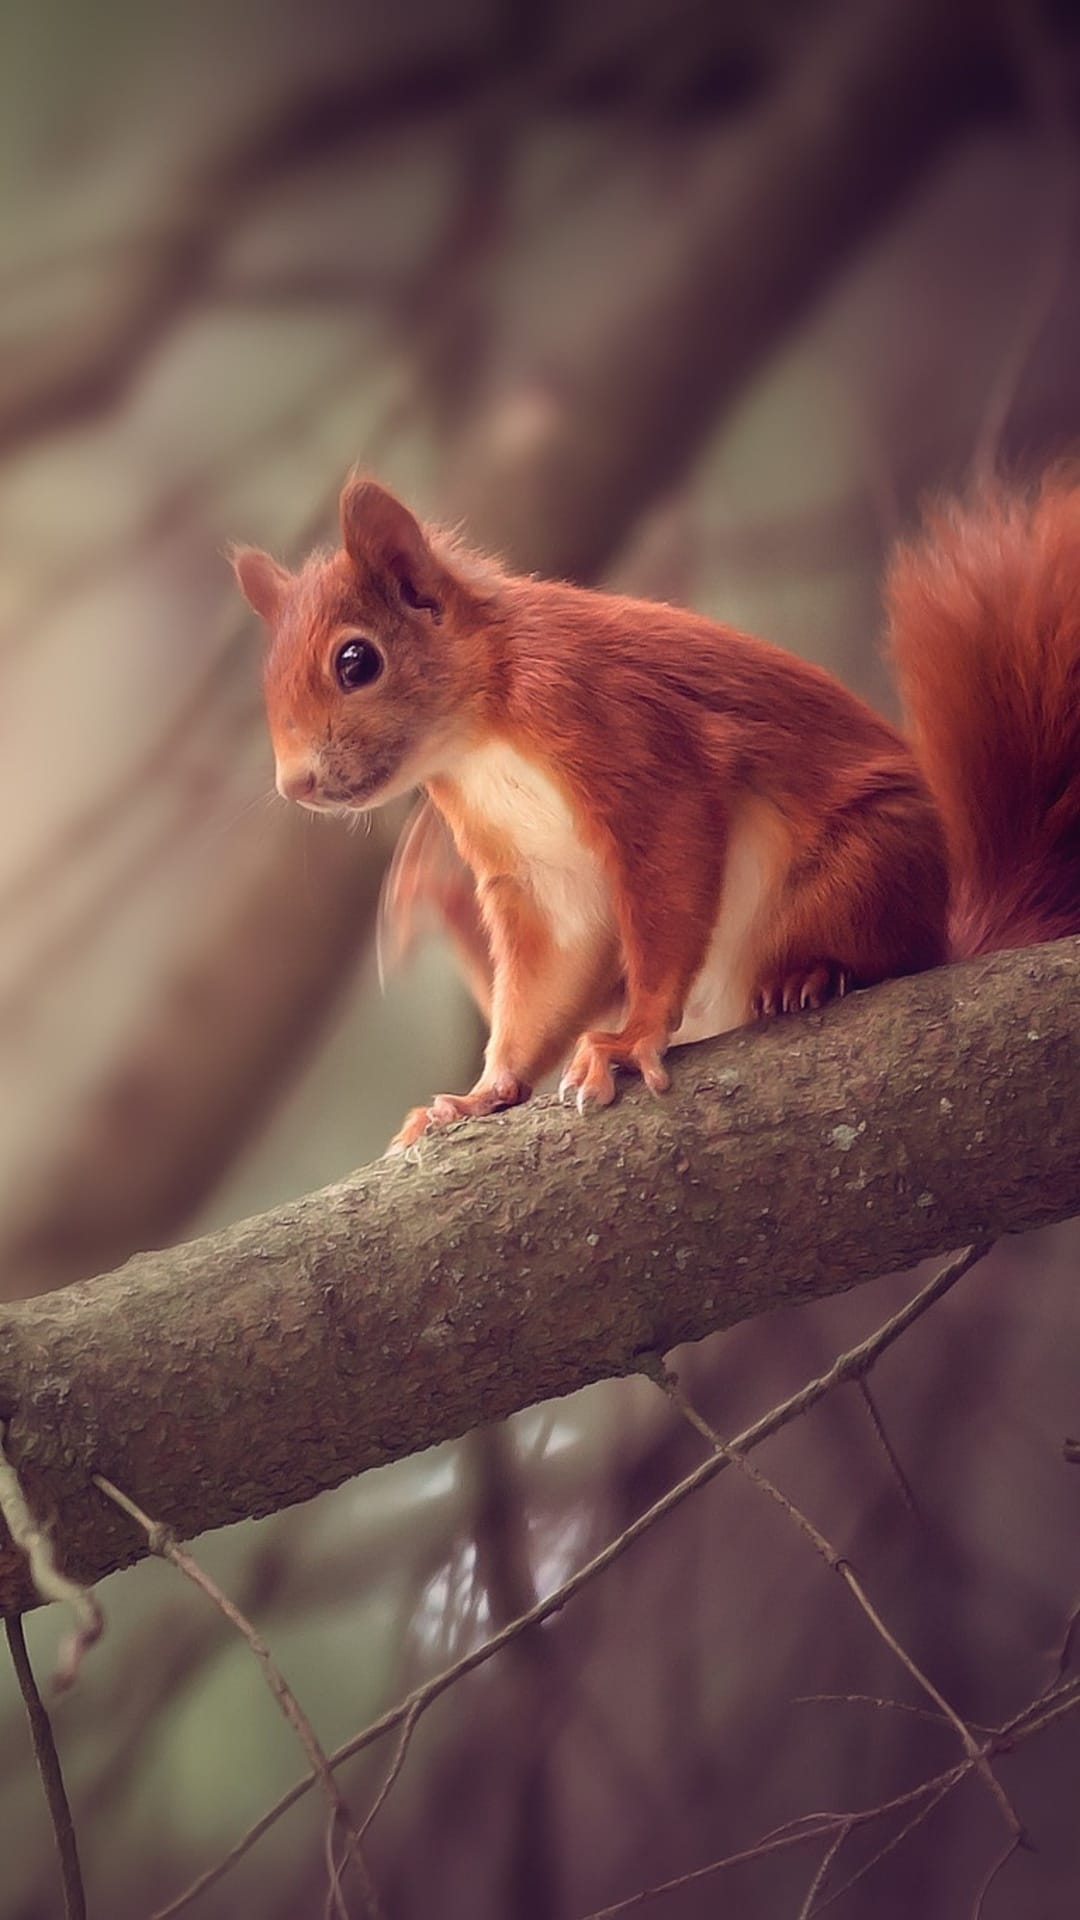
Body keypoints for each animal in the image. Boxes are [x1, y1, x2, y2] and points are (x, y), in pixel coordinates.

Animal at [231, 472, 1080, 1152]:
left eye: (356, 661)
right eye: (266, 681)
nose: (294, 784)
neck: (478, 734)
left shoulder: (623, 734)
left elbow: (668, 876)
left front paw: (630, 1039)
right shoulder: (535, 874)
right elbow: (549, 968)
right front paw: (481, 1094)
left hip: (867, 865)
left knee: (894, 949)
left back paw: (812, 972)